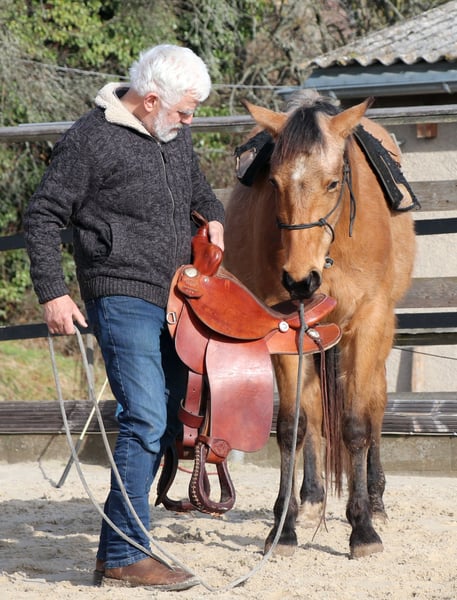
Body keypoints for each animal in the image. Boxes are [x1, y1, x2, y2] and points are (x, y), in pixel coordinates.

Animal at [223, 92, 416, 559]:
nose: (299, 279)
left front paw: (363, 528)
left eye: (332, 183)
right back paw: (311, 498)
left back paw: (376, 500)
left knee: (375, 402)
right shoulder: (284, 330)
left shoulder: (368, 322)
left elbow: (356, 424)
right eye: (274, 184)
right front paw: (285, 526)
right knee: (312, 409)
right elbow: (294, 424)